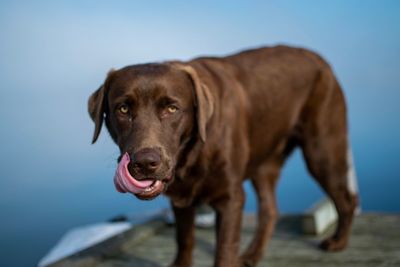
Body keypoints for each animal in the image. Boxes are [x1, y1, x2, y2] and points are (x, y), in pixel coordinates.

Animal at [88, 46, 360, 267]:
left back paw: (338, 242)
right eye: (123, 109)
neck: (191, 157)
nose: (145, 162)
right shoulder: (180, 198)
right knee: (270, 210)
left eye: (172, 108)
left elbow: (225, 250)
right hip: (264, 163)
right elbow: (184, 240)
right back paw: (252, 255)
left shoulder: (231, 198)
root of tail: (320, 59)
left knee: (346, 199)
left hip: (322, 151)